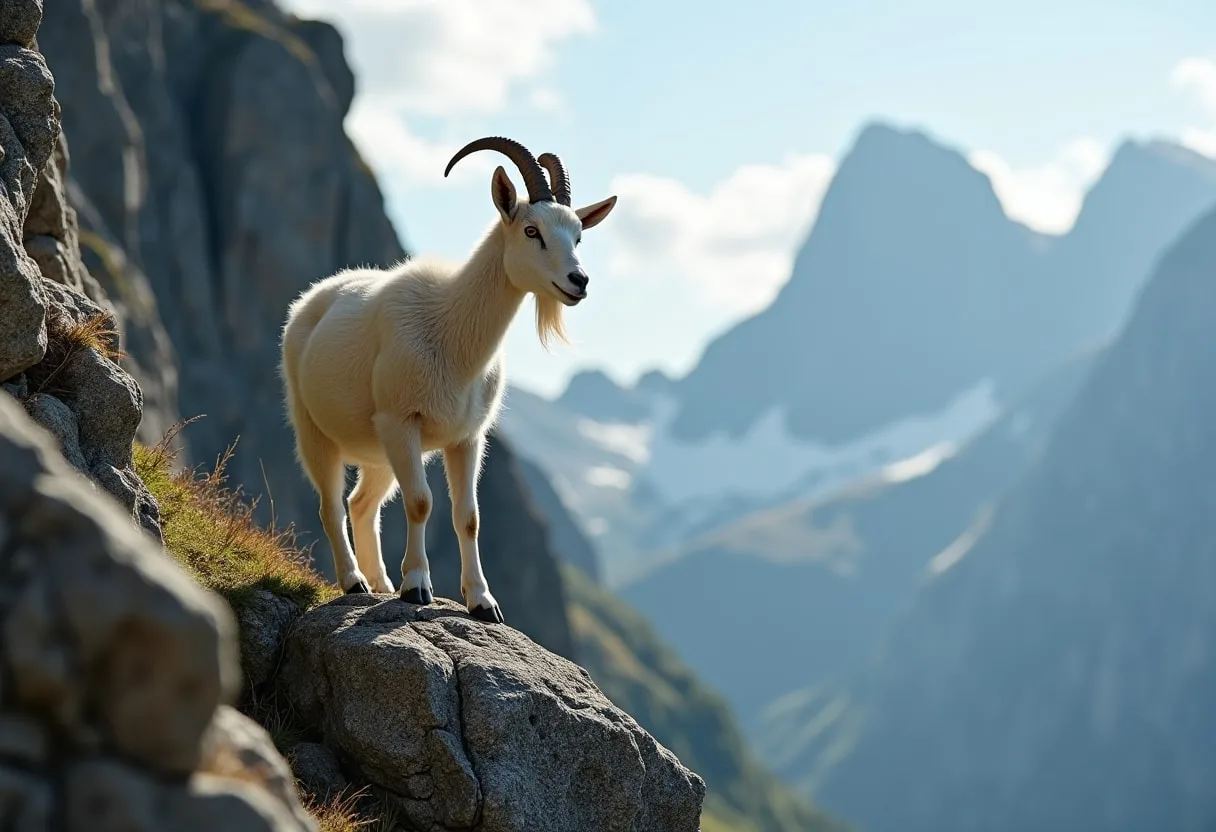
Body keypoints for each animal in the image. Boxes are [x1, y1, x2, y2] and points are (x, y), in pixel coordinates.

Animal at [279, 137, 617, 622]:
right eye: (531, 230)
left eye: (578, 236)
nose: (579, 281)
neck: (452, 332)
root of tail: (309, 302)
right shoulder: (402, 421)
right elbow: (422, 502)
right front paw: (417, 586)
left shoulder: (467, 437)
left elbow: (468, 515)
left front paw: (482, 601)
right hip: (314, 428)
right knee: (330, 505)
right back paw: (354, 581)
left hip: (378, 450)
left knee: (361, 504)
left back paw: (380, 583)